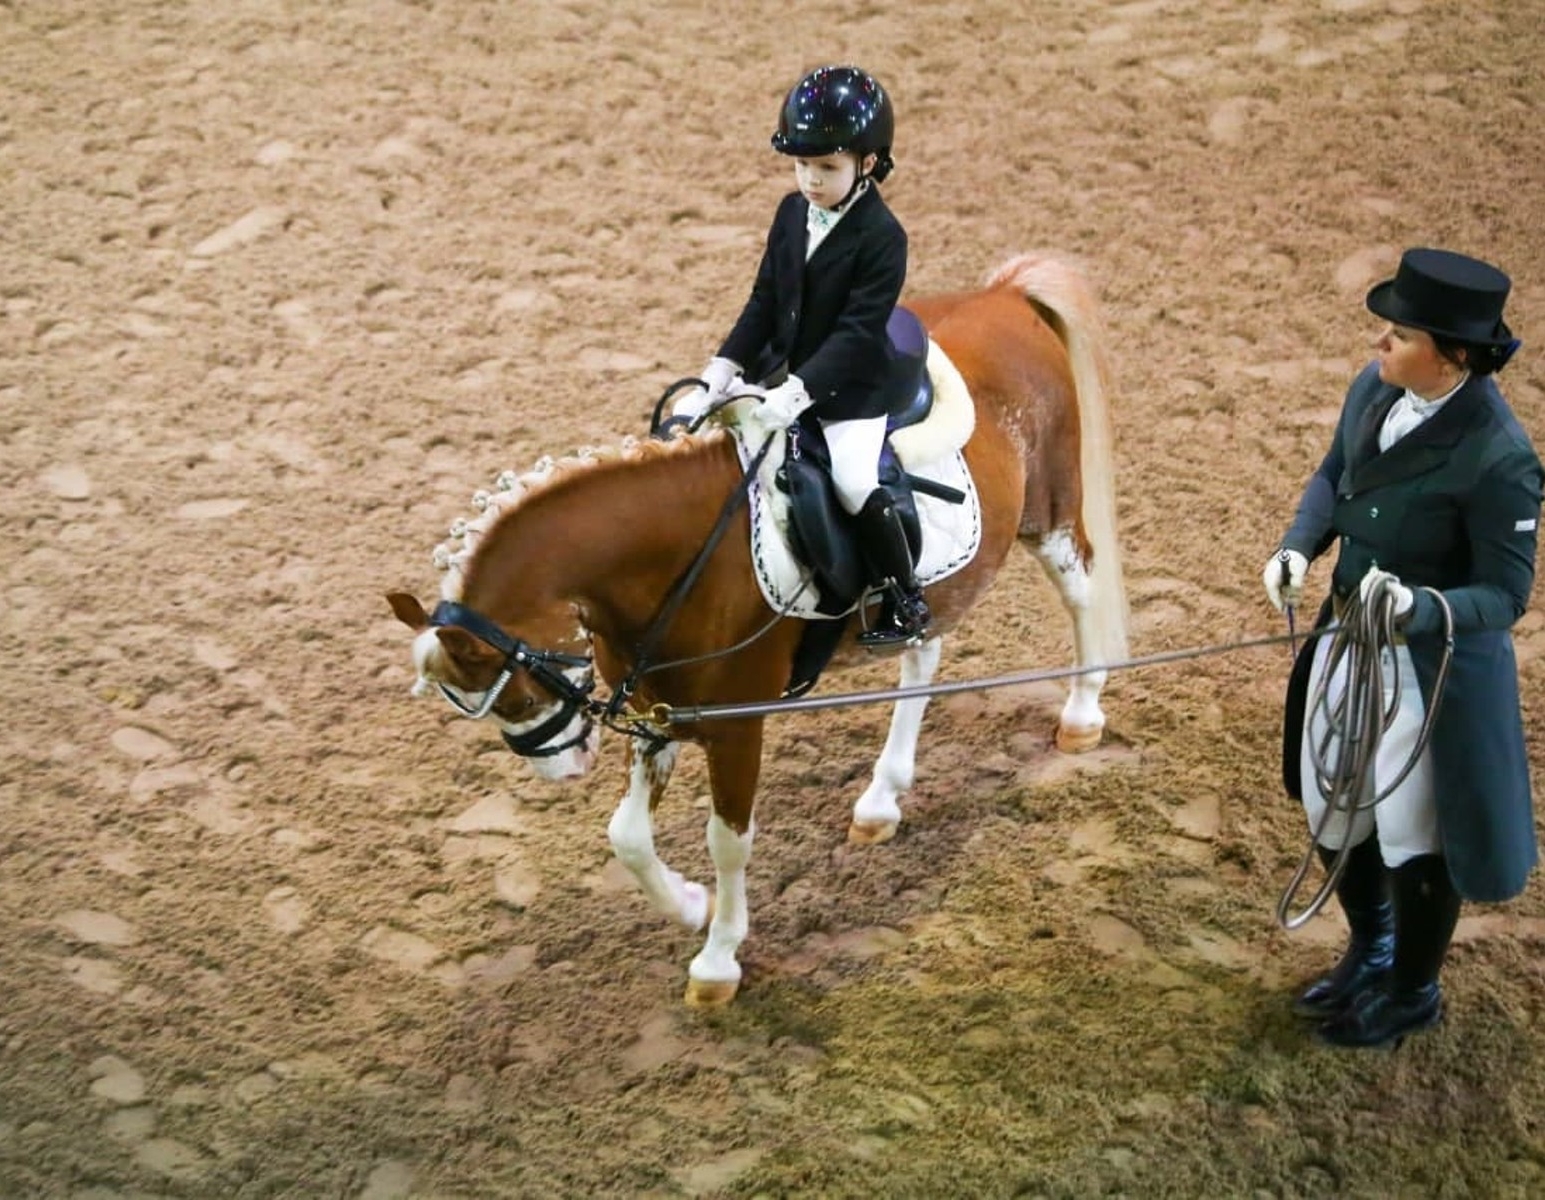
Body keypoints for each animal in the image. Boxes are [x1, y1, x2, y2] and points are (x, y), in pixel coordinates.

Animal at [392, 257, 1130, 1006]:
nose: (560, 770)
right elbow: (626, 836)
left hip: (1049, 512)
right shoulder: (657, 710)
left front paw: (718, 961)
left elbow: (729, 842)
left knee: (1081, 588)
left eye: (512, 694)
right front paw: (692, 906)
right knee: (924, 651)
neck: (679, 556)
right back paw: (881, 799)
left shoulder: (735, 726)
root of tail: (1004, 297)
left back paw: (1082, 714)